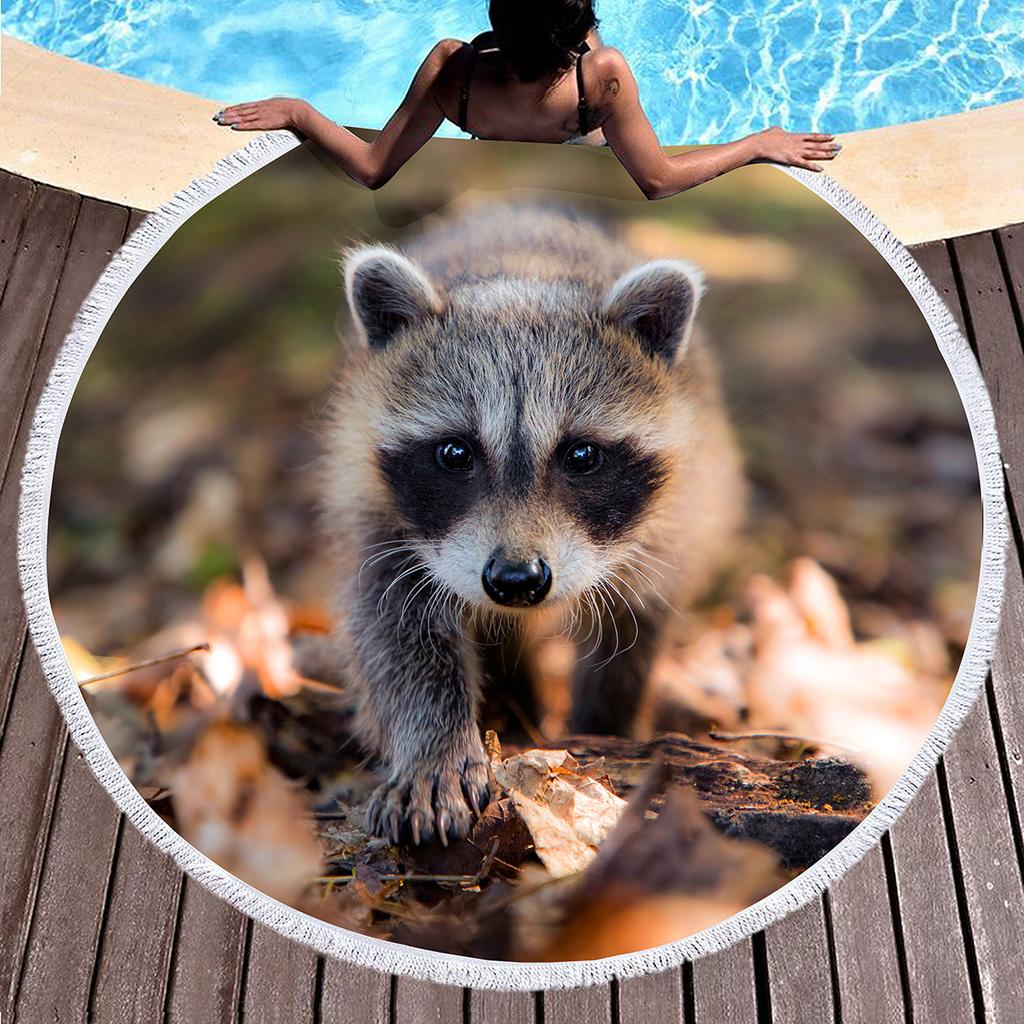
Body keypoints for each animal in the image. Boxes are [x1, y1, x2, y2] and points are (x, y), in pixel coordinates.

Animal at [321, 204, 744, 845]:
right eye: (455, 453)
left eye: (582, 455)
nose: (516, 582)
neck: (524, 272)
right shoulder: (376, 508)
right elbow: (393, 631)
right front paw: (433, 747)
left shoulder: (675, 518)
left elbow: (634, 626)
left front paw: (604, 729)